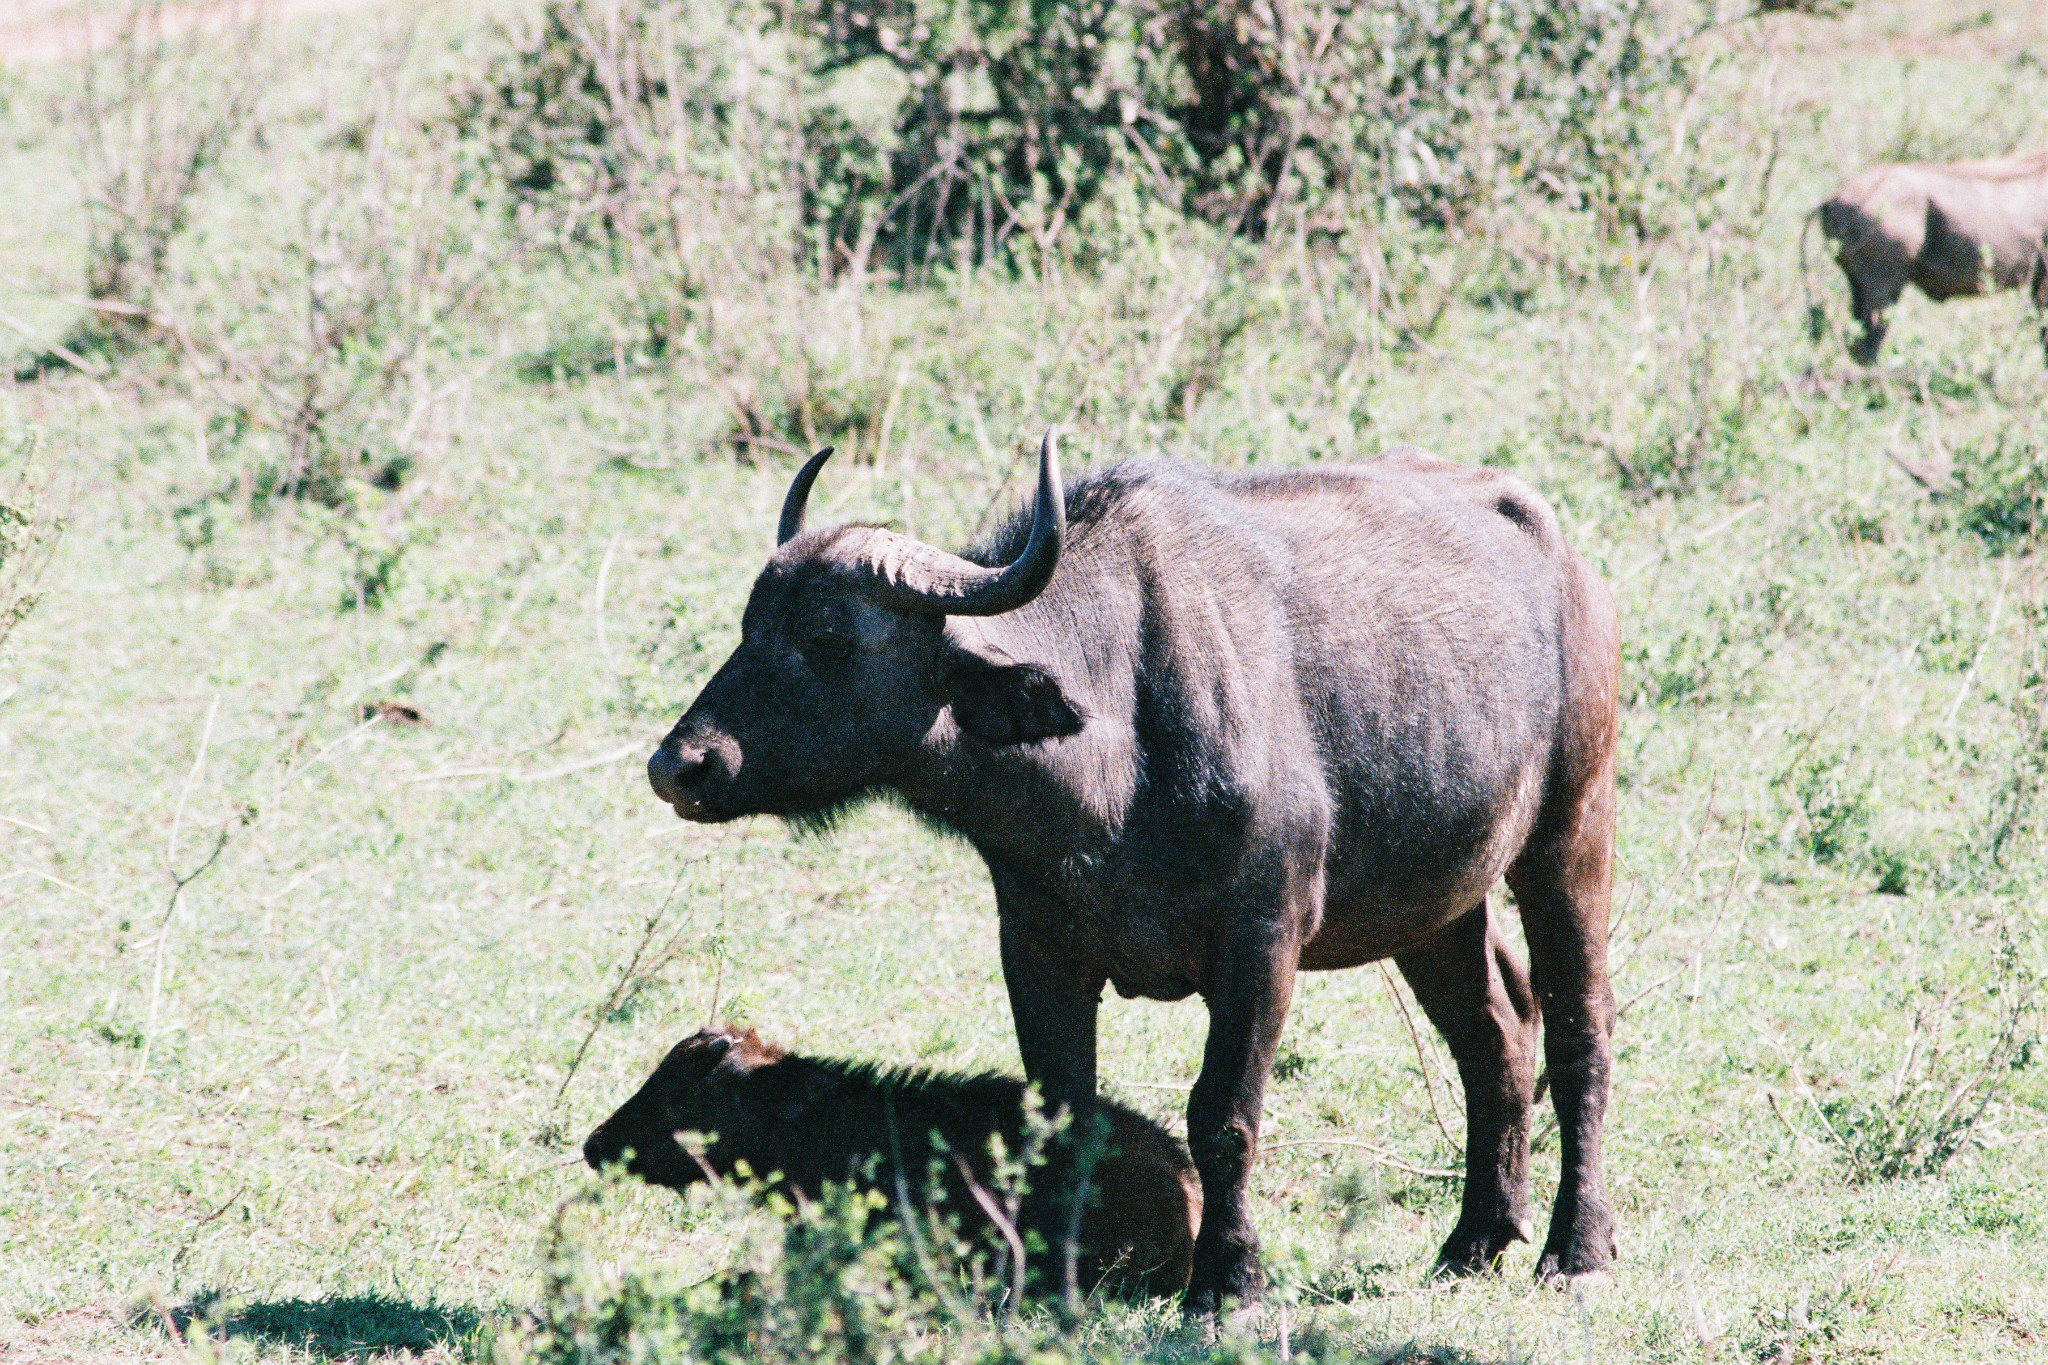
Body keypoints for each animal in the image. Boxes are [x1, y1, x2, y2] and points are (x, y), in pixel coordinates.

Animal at [647, 437, 1622, 1309]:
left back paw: (1576, 1247)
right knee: (1497, 1030)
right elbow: (1061, 1119)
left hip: (1570, 834)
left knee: (1579, 1031)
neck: (1113, 751)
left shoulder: (1260, 943)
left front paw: (1227, 1281)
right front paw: (1050, 1274)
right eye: (749, 625)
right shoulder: (1038, 950)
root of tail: (1566, 560)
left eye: (826, 635)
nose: (679, 765)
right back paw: (1475, 1238)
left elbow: (1223, 1116)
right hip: (1434, 904)